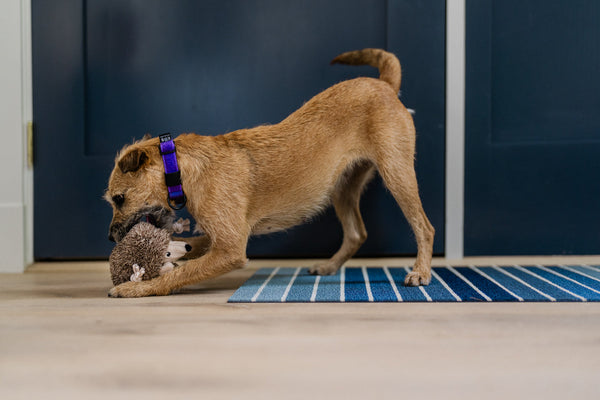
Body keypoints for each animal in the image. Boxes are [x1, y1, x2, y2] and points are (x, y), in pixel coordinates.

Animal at [105, 47, 434, 296]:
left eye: (119, 199)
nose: (110, 238)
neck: (178, 167)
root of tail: (385, 84)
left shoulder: (230, 248)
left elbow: (179, 274)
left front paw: (136, 287)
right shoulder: (217, 239)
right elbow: (189, 249)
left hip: (397, 173)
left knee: (424, 227)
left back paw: (420, 272)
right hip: (342, 187)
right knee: (356, 233)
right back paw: (329, 266)